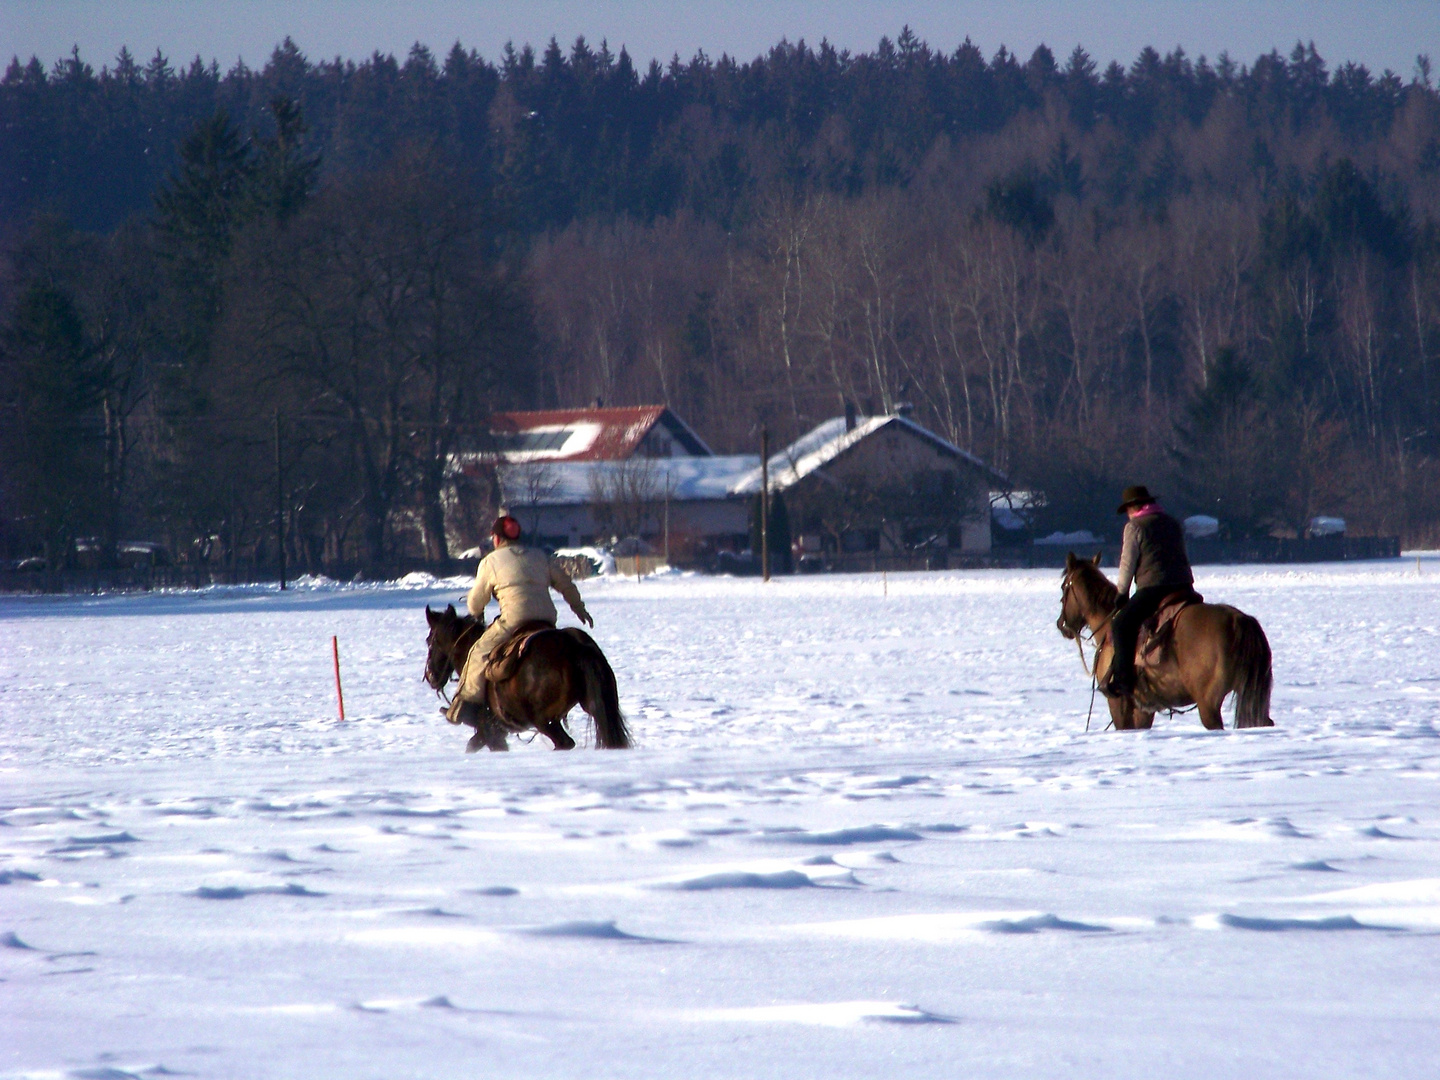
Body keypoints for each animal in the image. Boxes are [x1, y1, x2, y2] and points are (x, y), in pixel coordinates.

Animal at [423, 604, 633, 754]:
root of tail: (575, 646)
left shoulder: (489, 730)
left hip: (544, 720)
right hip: (595, 707)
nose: (431, 676)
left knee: (564, 742)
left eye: (429, 641)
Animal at [1054, 552, 1278, 731]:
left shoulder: (1119, 704)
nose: (1061, 624)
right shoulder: (1143, 708)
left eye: (1064, 588)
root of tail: (1238, 620)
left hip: (1208, 703)